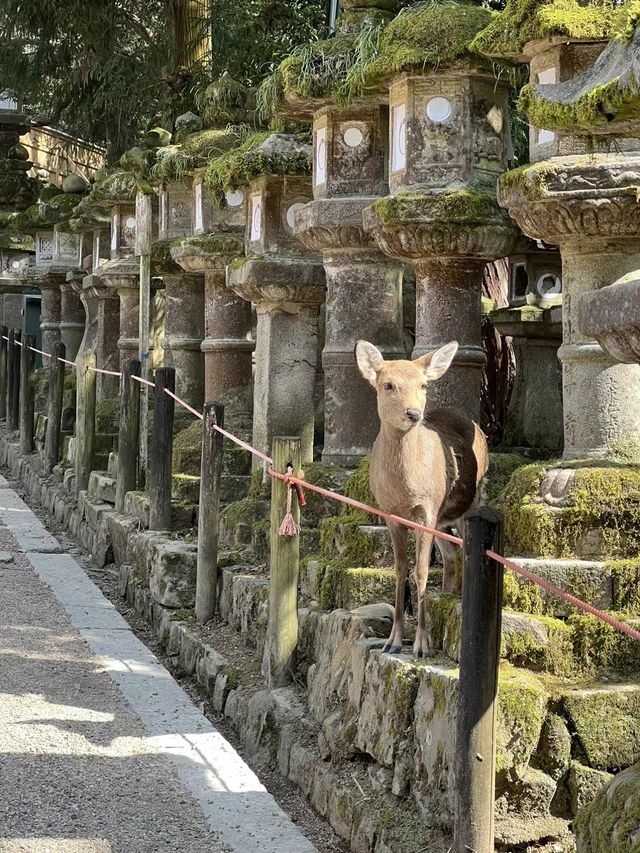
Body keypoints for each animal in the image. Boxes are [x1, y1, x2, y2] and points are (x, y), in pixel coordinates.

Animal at [358, 340, 488, 660]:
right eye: (388, 384)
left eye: (424, 384)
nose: (414, 414)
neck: (404, 488)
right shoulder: (390, 514)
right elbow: (400, 569)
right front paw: (392, 641)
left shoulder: (426, 510)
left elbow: (421, 570)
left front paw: (421, 645)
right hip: (443, 519)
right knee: (451, 556)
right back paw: (447, 594)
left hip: (471, 502)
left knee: (461, 549)